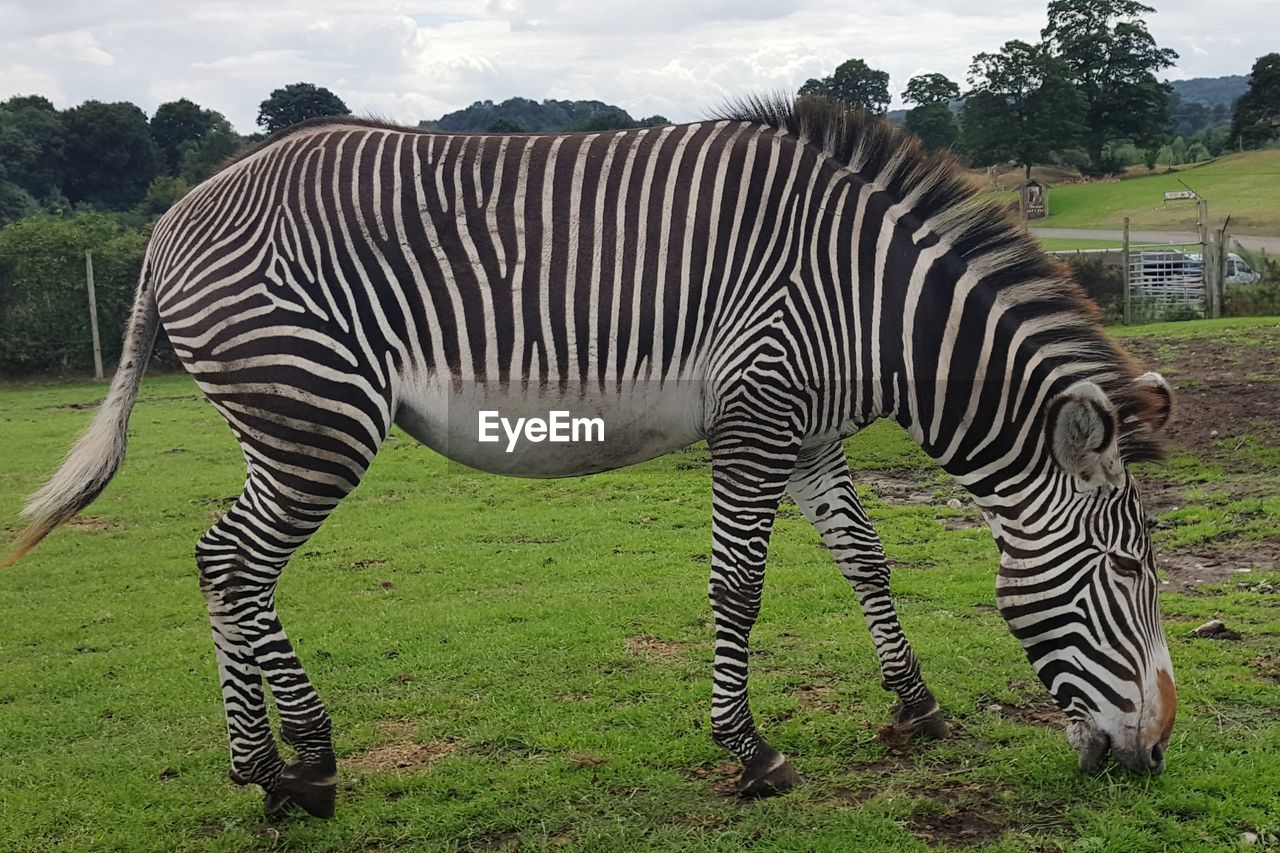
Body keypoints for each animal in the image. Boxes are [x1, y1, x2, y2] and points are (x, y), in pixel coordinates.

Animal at [2, 94, 1177, 819]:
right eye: (1129, 571)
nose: (1156, 752)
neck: (872, 298)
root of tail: (172, 222)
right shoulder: (755, 414)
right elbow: (739, 585)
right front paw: (751, 753)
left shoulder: (807, 429)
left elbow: (864, 559)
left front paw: (916, 703)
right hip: (314, 416)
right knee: (235, 562)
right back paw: (300, 767)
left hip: (283, 422)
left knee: (224, 565)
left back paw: (276, 769)